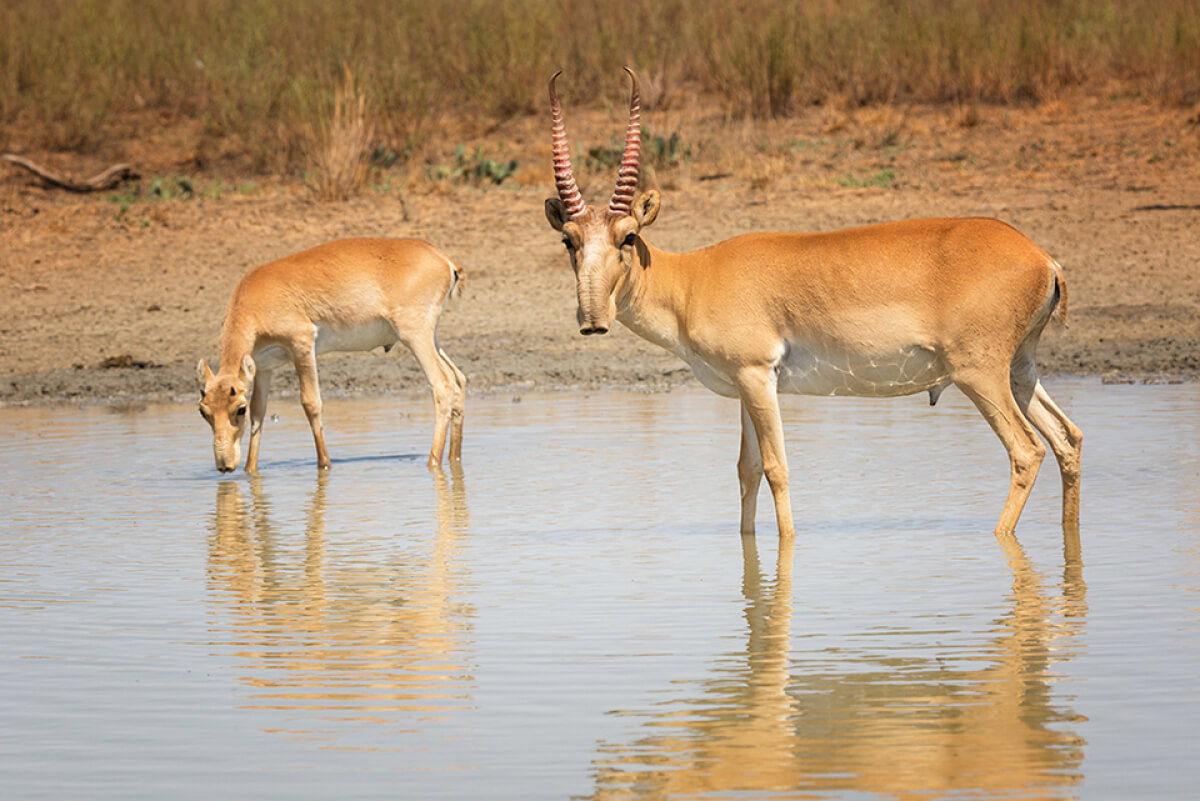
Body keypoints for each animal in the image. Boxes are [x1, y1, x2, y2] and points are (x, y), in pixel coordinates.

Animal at [196, 237, 463, 474]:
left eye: (238, 409)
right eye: (203, 411)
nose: (225, 465)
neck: (254, 294)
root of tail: (444, 260)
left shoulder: (302, 346)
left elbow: (311, 403)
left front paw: (324, 464)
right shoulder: (264, 367)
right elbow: (259, 413)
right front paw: (250, 470)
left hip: (416, 337)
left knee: (443, 385)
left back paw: (433, 462)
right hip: (430, 338)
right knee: (458, 379)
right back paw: (454, 457)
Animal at [544, 70, 1080, 537]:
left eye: (628, 236)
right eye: (569, 240)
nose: (592, 320)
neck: (692, 279)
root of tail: (1041, 257)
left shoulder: (757, 376)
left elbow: (776, 468)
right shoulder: (747, 388)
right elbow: (747, 471)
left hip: (978, 375)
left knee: (1027, 451)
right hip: (1020, 370)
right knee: (1067, 439)